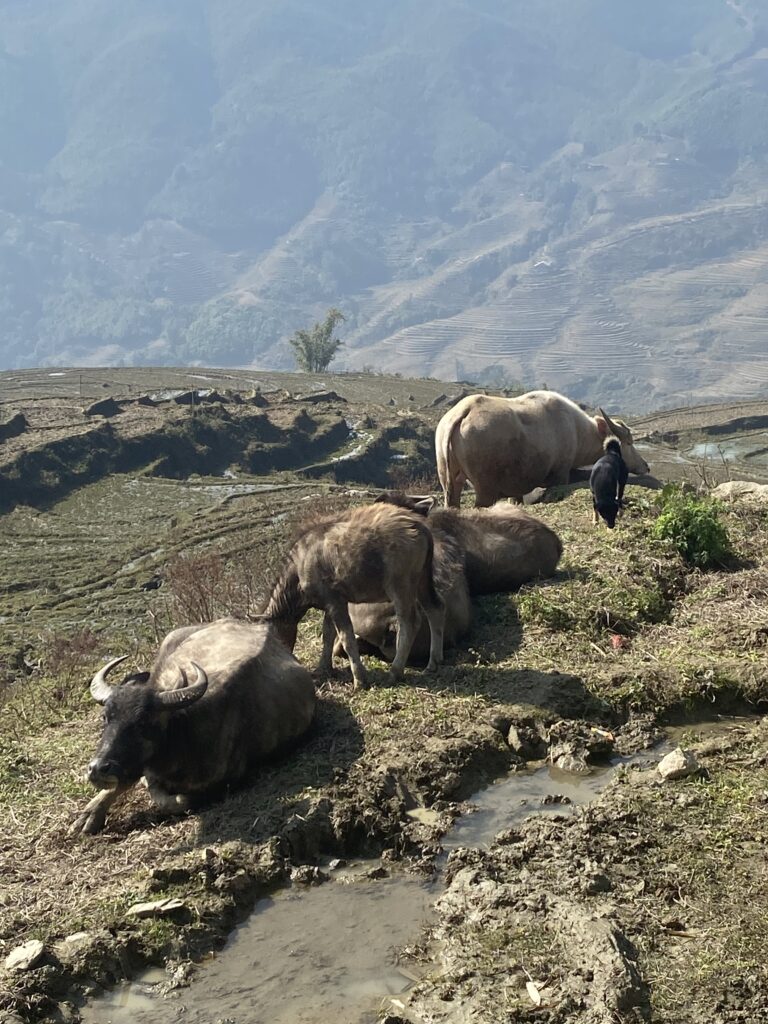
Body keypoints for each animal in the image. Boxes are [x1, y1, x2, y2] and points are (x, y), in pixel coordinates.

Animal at [73, 614, 317, 831]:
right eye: (106, 717)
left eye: (143, 722)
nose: (98, 769)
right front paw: (89, 816)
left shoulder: (225, 782)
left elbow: (175, 800)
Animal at [264, 499, 448, 684]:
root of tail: (420, 527)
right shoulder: (329, 603)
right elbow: (328, 635)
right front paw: (323, 668)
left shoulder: (335, 601)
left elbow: (346, 637)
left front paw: (359, 678)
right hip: (422, 580)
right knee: (435, 609)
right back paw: (433, 662)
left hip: (400, 585)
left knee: (409, 622)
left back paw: (395, 671)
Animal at [436, 389, 647, 505]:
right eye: (629, 442)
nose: (645, 466)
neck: (576, 430)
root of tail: (463, 412)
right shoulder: (560, 475)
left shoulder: (517, 488)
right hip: (485, 491)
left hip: (450, 484)